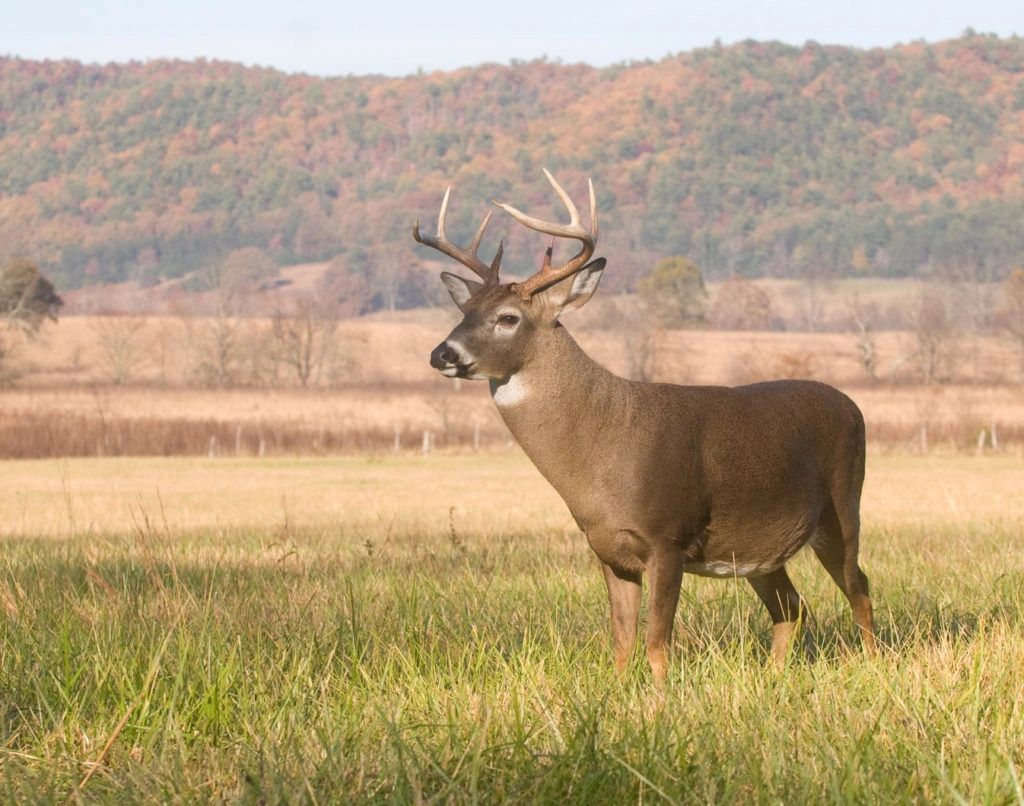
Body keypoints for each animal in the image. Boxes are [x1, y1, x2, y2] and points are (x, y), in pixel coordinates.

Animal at [414, 170, 875, 684]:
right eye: (465, 313)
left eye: (508, 318)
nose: (442, 353)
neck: (603, 452)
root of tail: (853, 405)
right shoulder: (608, 550)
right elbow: (621, 643)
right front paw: (617, 692)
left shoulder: (667, 537)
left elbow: (657, 644)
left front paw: (659, 698)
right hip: (761, 548)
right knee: (792, 607)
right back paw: (774, 677)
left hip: (842, 507)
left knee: (859, 586)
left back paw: (875, 663)